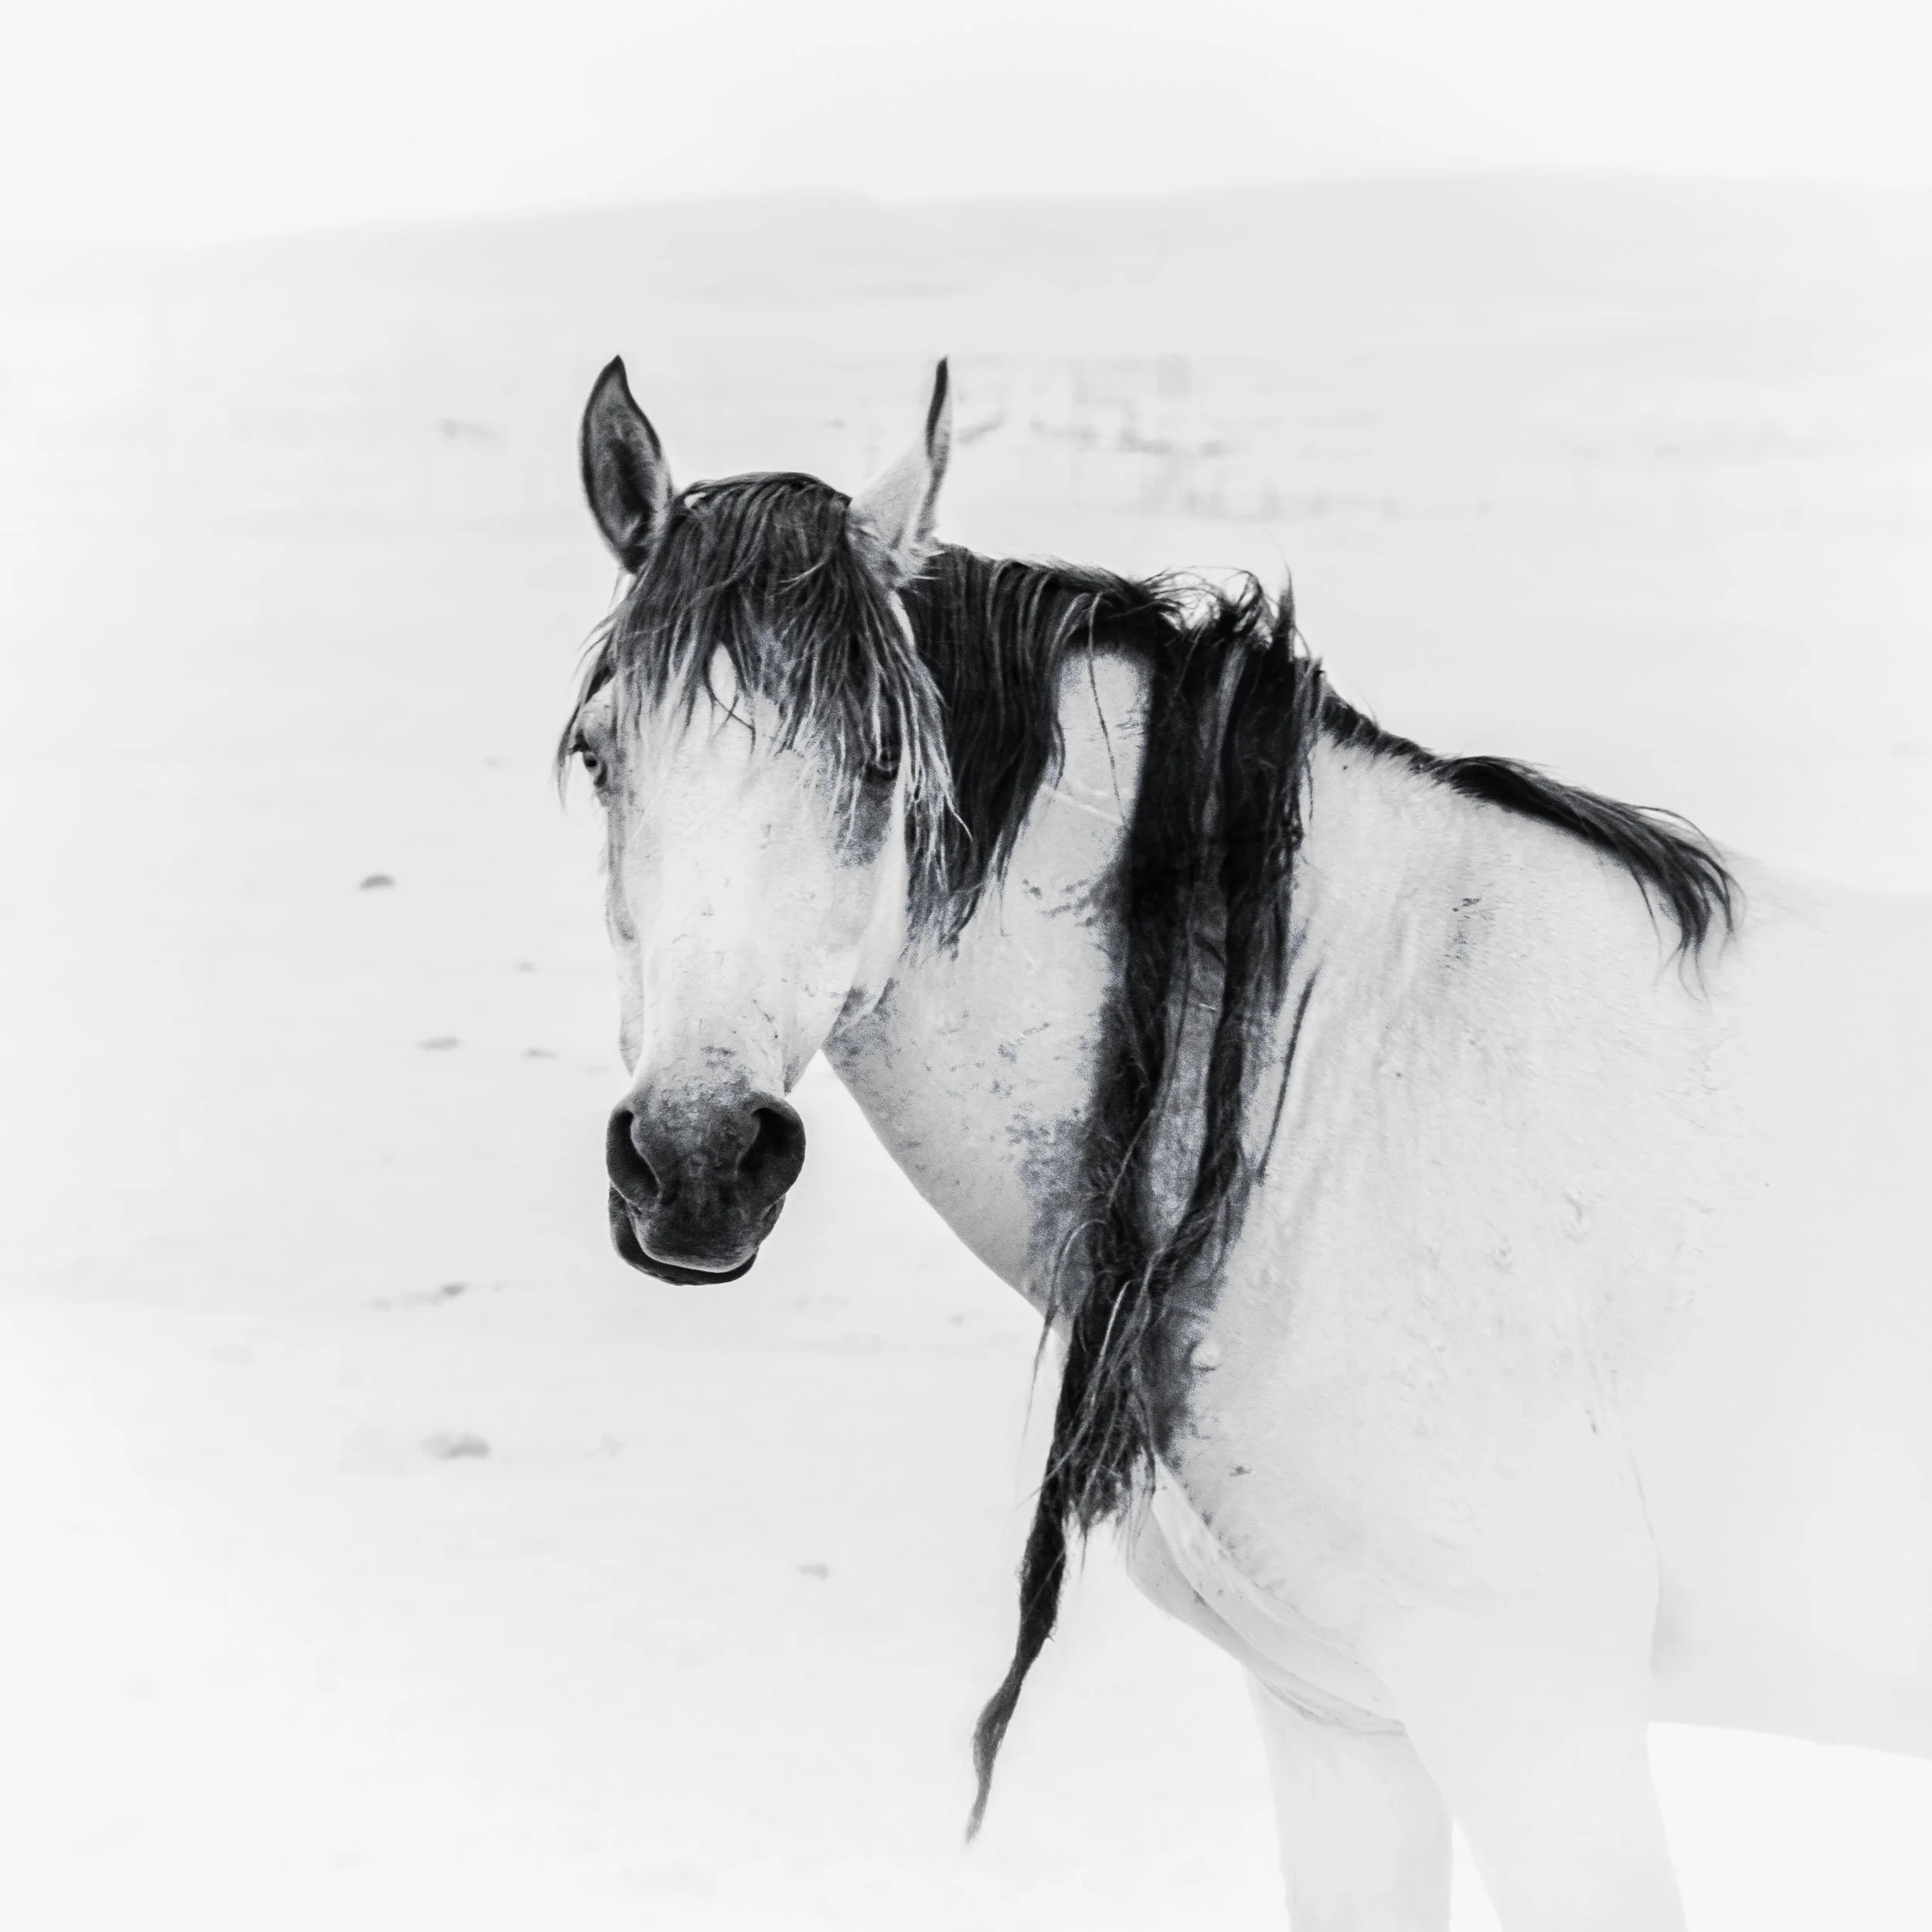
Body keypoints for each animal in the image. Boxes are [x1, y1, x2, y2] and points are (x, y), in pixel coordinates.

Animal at [560, 356, 1932, 1931]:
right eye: (599, 758)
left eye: (886, 761)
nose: (697, 1158)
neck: (1343, 1073)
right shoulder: (1342, 1720)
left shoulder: (1535, 1715)